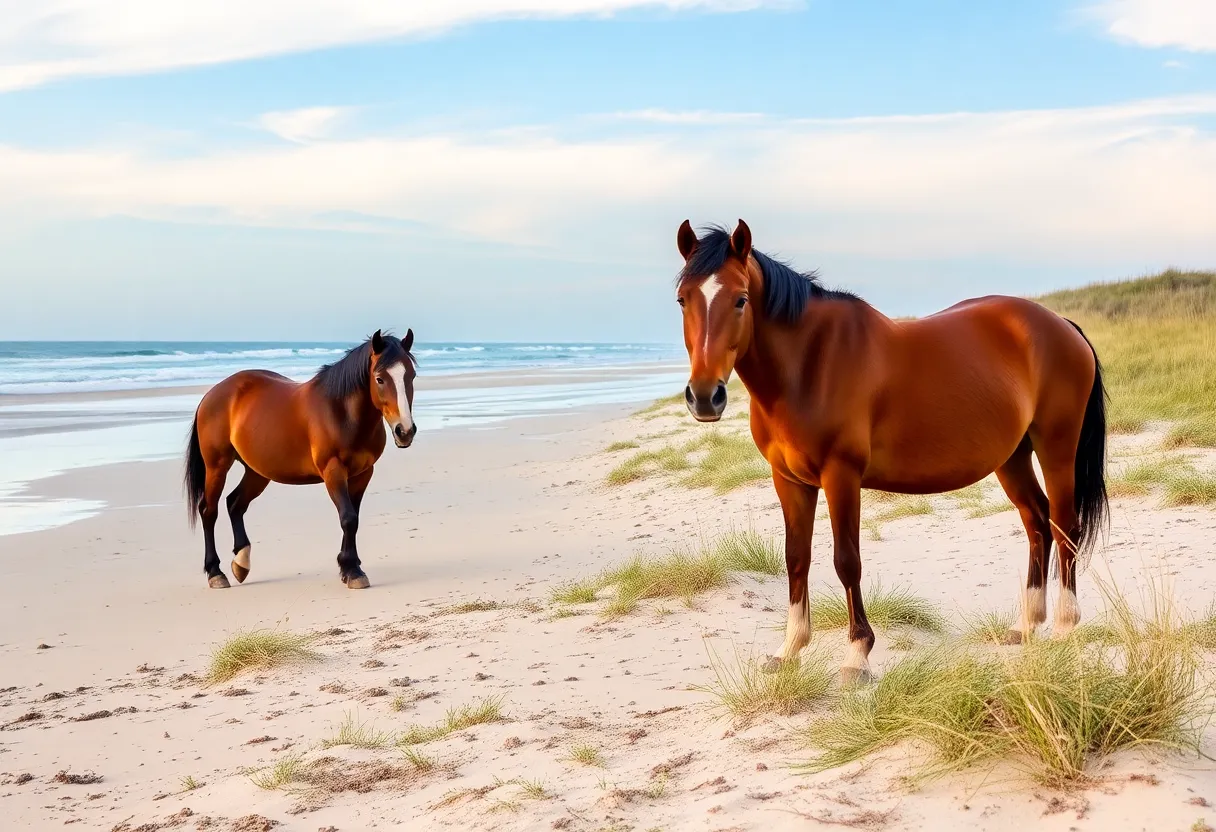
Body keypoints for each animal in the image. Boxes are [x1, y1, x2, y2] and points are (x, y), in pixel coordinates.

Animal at [184, 329, 417, 590]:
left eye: (412, 375)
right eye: (379, 379)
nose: (405, 431)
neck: (341, 412)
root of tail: (211, 394)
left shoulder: (363, 473)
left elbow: (353, 517)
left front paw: (349, 566)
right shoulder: (333, 471)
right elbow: (347, 518)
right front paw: (352, 570)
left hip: (257, 472)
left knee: (235, 504)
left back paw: (241, 563)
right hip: (217, 466)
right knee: (209, 511)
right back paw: (216, 572)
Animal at [674, 220, 1108, 682]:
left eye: (740, 299)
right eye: (682, 299)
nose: (705, 397)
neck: (810, 362)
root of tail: (1061, 325)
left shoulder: (841, 475)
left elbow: (847, 561)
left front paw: (856, 656)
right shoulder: (788, 480)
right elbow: (796, 558)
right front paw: (789, 649)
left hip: (1056, 445)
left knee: (1063, 525)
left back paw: (1064, 627)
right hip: (1012, 457)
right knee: (1036, 521)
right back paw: (1026, 624)